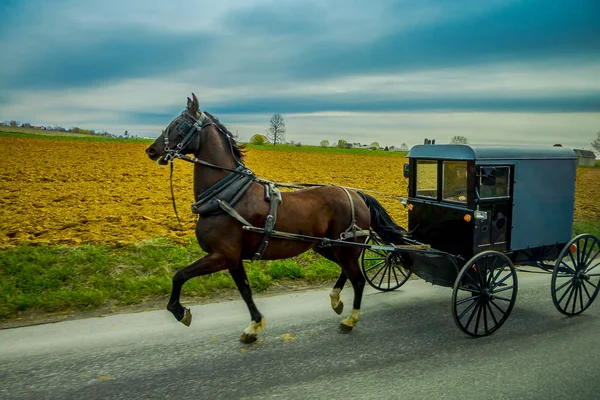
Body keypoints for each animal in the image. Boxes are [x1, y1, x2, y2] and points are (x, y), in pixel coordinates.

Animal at [145, 92, 408, 342]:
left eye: (179, 124)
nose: (151, 150)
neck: (226, 196)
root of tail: (356, 194)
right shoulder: (233, 259)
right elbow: (245, 291)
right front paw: (254, 326)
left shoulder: (222, 255)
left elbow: (180, 275)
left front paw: (179, 311)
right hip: (328, 246)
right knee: (348, 272)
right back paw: (335, 300)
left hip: (345, 247)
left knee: (359, 279)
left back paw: (350, 320)